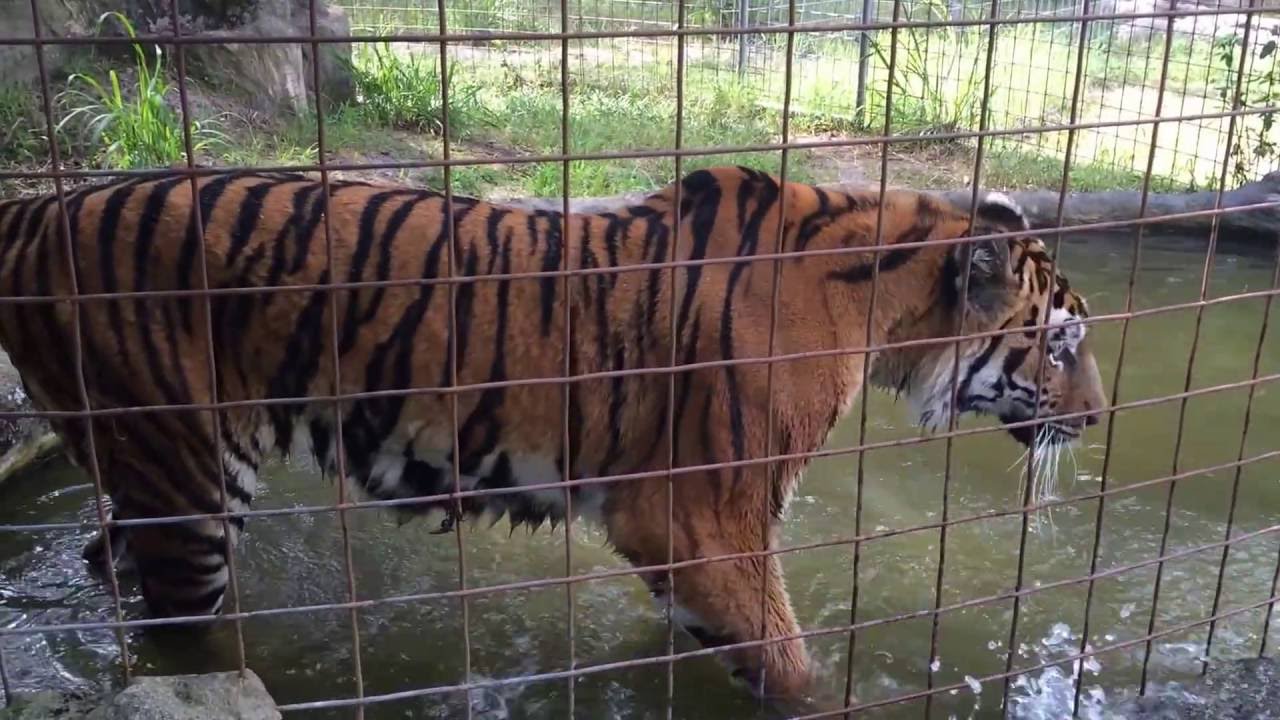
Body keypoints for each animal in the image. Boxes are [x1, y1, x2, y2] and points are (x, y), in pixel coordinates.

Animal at [0, 165, 1106, 702]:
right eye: (1059, 345)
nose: (1098, 418)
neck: (885, 308)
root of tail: (35, 209)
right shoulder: (701, 513)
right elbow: (790, 667)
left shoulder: (678, 536)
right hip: (183, 480)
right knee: (180, 638)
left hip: (162, 467)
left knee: (110, 559)